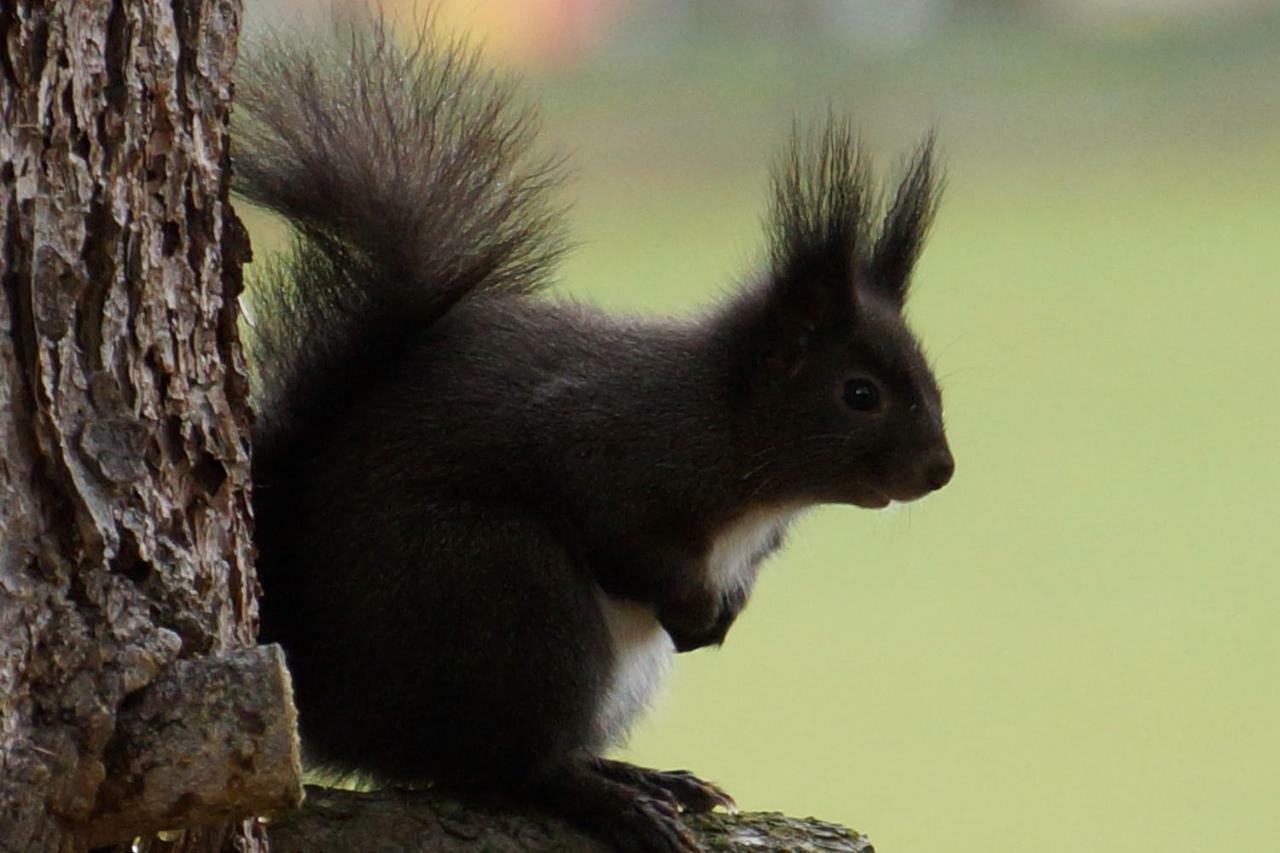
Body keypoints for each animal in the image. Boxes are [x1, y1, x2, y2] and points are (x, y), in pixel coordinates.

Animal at [232, 14, 952, 850]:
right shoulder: (611, 445)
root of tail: (332, 698)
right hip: (503, 592)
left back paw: (643, 775)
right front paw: (694, 610)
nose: (941, 469)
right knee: (507, 764)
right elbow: (612, 524)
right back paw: (609, 796)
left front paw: (721, 617)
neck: (732, 425)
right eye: (860, 394)